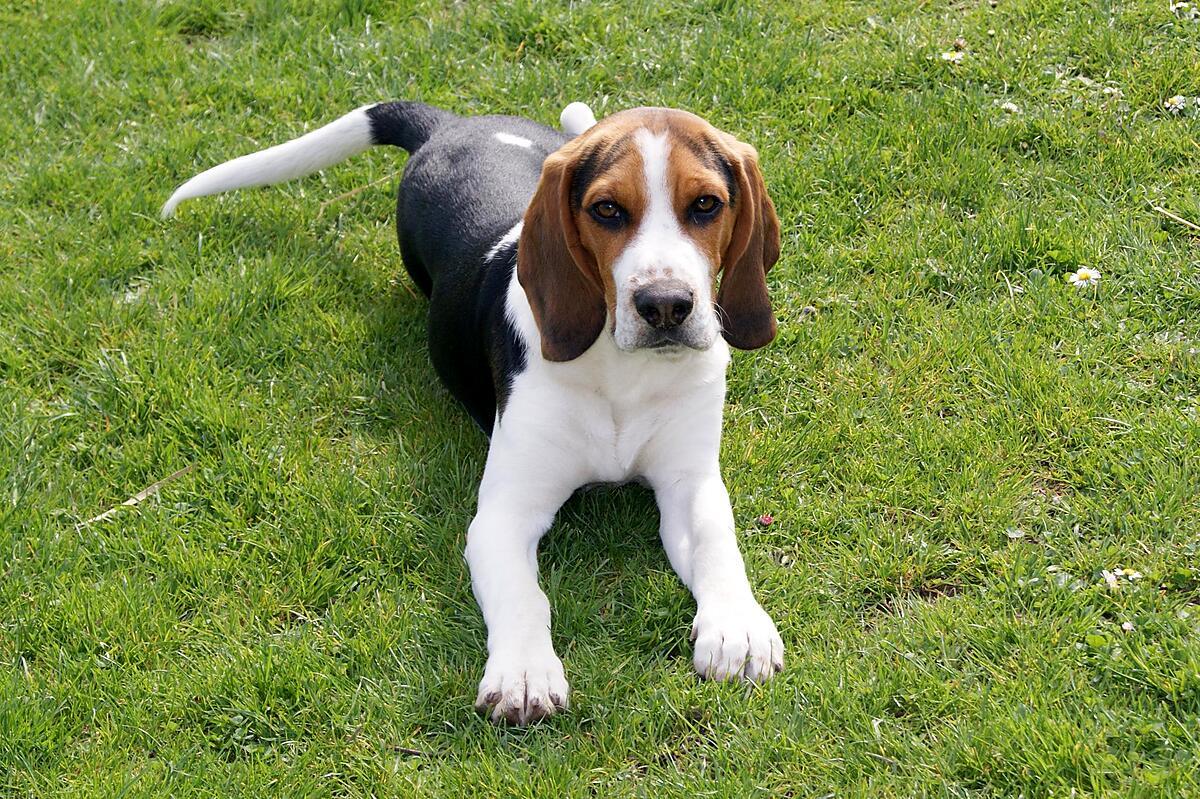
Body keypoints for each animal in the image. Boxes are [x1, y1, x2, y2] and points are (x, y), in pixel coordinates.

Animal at [166, 97, 787, 719]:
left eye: (705, 204)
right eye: (607, 210)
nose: (664, 306)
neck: (623, 374)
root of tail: (450, 125)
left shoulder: (690, 481)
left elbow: (715, 541)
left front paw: (737, 627)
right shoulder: (504, 513)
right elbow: (524, 596)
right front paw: (524, 672)